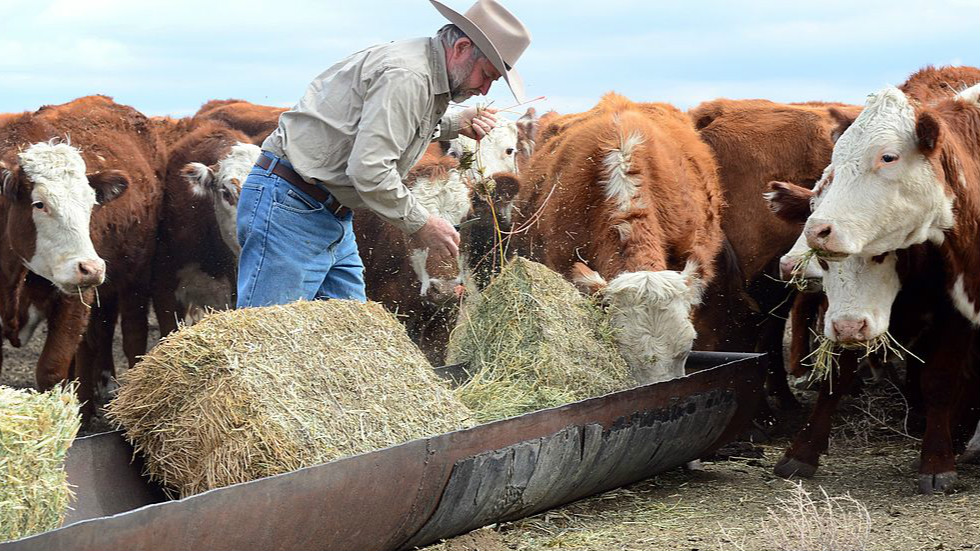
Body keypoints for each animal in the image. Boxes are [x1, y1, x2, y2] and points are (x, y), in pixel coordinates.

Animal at [0, 97, 165, 420]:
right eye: (40, 204)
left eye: (92, 204)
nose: (92, 268)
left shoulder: (76, 300)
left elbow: (52, 370)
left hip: (136, 278)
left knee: (130, 336)